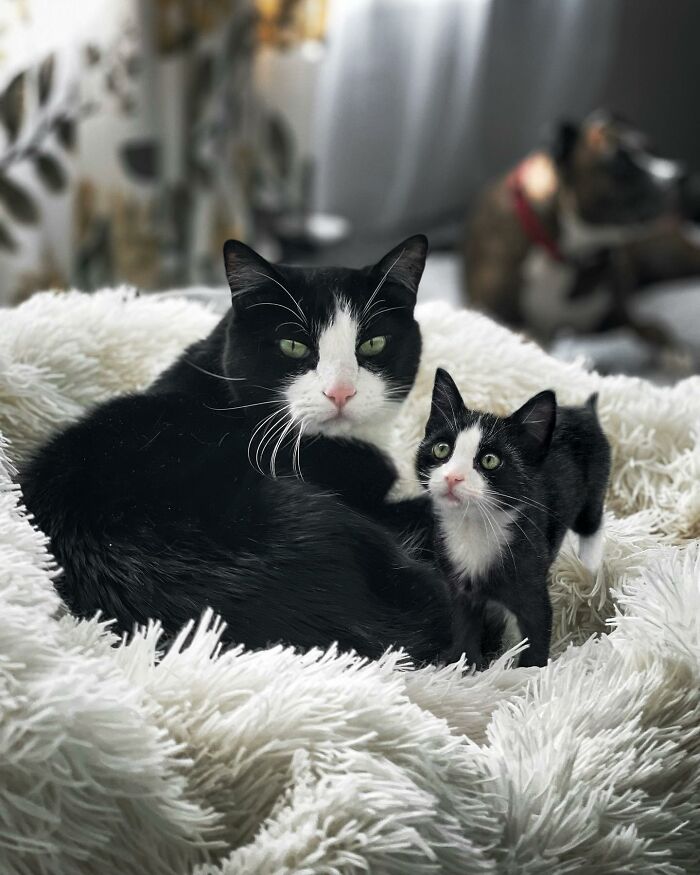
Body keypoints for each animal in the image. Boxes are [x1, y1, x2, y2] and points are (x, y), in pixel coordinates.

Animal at [418, 368, 608, 664]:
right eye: (441, 449)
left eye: (490, 460)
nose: (452, 477)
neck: (474, 527)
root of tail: (584, 410)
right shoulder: (459, 589)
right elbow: (464, 627)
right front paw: (462, 665)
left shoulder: (532, 589)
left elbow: (536, 634)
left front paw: (529, 672)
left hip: (595, 485)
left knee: (592, 524)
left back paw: (589, 568)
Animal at [462, 111, 688, 354]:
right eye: (619, 163)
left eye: (654, 149)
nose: (680, 176)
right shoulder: (495, 316)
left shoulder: (620, 317)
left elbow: (654, 329)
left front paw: (676, 353)